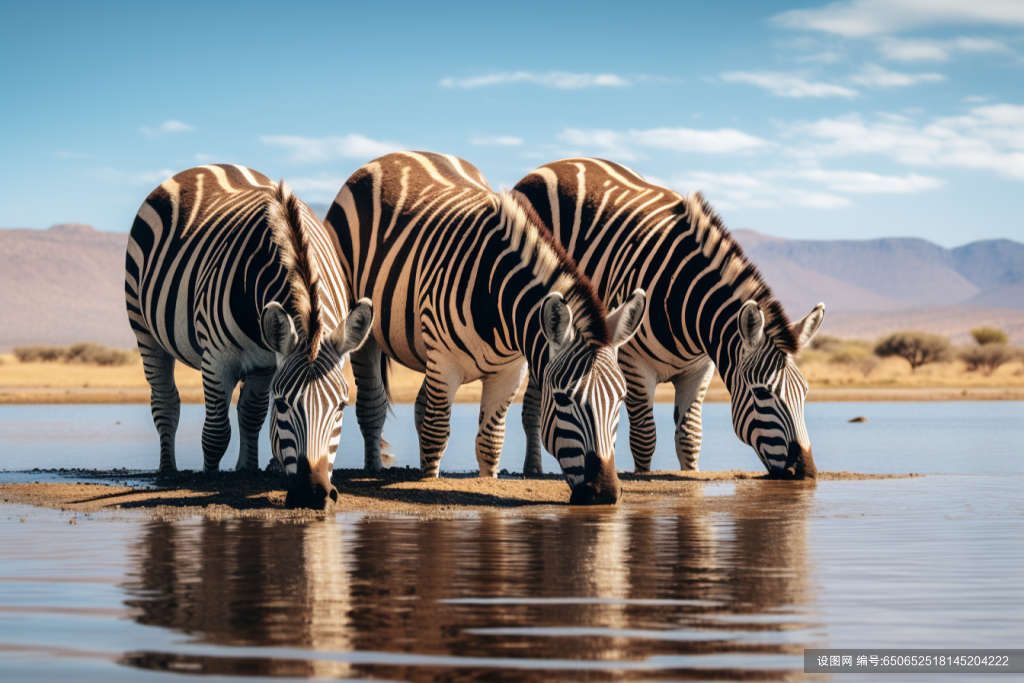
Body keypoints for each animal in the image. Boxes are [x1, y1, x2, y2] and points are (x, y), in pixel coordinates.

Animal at [123, 163, 372, 507]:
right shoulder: (217, 360)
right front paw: (209, 476)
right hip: (144, 328)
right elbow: (216, 432)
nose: (312, 493)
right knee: (165, 401)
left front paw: (249, 469)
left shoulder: (267, 362)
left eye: (341, 407)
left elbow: (252, 415)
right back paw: (167, 471)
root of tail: (209, 166)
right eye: (282, 405)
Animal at [319, 152, 643, 505]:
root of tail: (397, 155)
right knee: (373, 406)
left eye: (621, 398)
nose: (605, 493)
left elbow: (491, 441)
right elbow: (436, 431)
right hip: (365, 329)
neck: (498, 304)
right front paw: (429, 480)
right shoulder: (444, 363)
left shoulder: (510, 372)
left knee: (417, 406)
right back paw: (374, 468)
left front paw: (488, 480)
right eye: (562, 399)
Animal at [512, 160, 823, 481]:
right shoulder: (634, 366)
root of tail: (559, 163)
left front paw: (692, 474)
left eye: (805, 392)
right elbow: (644, 436)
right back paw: (532, 468)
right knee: (532, 404)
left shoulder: (700, 369)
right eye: (762, 393)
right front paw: (642, 476)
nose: (807, 472)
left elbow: (690, 434)